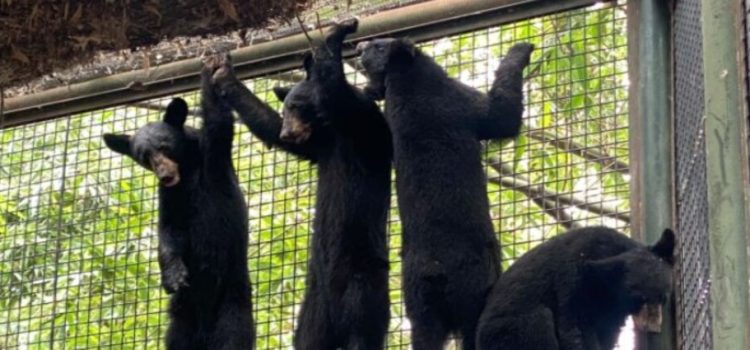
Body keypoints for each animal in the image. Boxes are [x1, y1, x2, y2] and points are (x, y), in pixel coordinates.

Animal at [103, 56, 258, 348]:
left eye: (164, 146)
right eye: (144, 157)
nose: (165, 174)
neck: (187, 169)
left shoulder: (213, 160)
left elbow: (219, 123)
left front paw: (210, 73)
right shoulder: (170, 194)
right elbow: (170, 228)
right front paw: (173, 274)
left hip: (233, 295)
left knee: (235, 331)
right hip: (183, 311)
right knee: (177, 335)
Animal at [212, 19, 394, 350]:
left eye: (296, 105)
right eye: (285, 110)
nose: (288, 131)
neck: (332, 130)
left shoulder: (360, 119)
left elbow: (334, 87)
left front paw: (335, 35)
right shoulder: (319, 144)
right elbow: (270, 128)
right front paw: (223, 74)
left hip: (361, 277)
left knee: (361, 327)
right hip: (316, 301)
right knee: (309, 336)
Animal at [356, 38, 536, 348]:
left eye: (378, 47)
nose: (359, 47)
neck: (405, 79)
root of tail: (435, 270)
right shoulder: (472, 104)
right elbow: (505, 114)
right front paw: (521, 50)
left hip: (421, 310)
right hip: (477, 293)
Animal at [478, 227, 680, 350]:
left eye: (663, 298)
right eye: (639, 299)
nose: (653, 326)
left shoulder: (611, 311)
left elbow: (607, 333)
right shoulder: (574, 279)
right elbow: (575, 327)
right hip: (505, 334)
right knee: (538, 321)